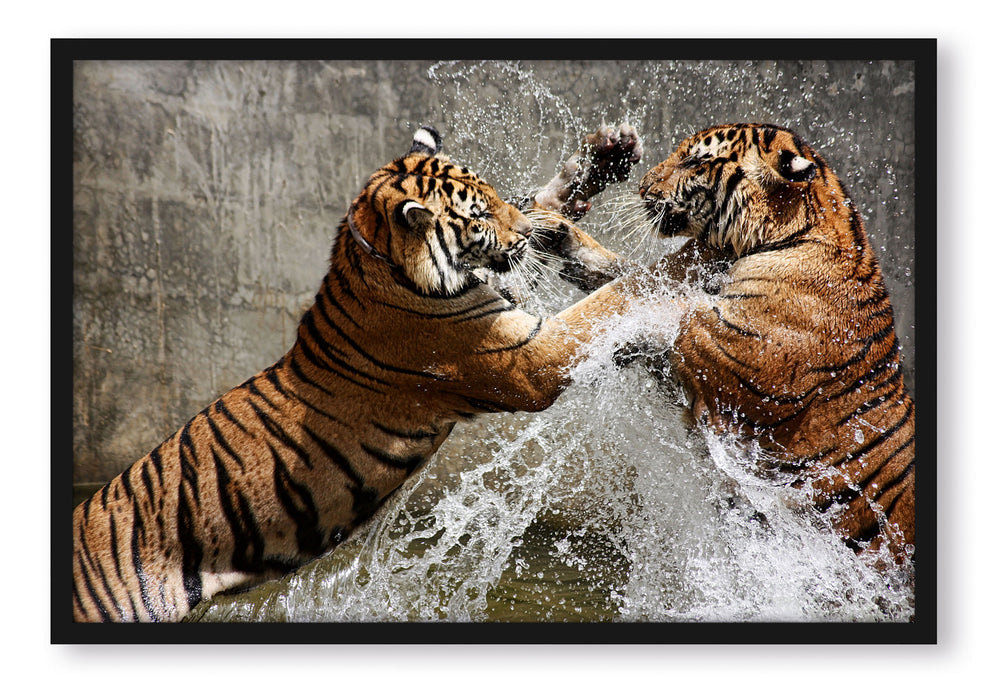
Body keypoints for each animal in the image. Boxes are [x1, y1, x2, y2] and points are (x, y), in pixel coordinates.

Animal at [72, 124, 647, 623]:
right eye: (479, 214)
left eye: (494, 193)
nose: (523, 234)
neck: (381, 262)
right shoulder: (529, 357)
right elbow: (609, 300)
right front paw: (662, 273)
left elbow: (545, 213)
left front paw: (603, 157)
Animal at [533, 123, 915, 563]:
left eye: (694, 160)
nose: (643, 187)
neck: (788, 235)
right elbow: (632, 276)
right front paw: (556, 231)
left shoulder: (731, 353)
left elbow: (652, 302)